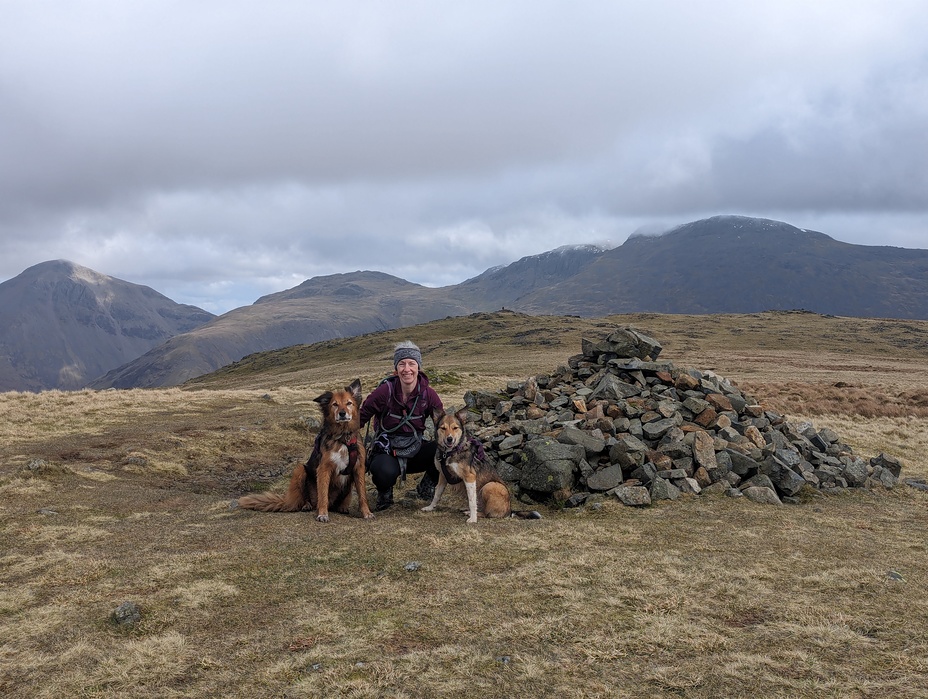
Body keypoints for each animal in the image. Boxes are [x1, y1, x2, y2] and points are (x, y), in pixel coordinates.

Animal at [236, 380, 374, 524]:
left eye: (349, 403)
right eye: (335, 404)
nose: (342, 413)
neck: (343, 437)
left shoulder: (358, 468)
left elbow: (362, 495)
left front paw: (366, 513)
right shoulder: (324, 468)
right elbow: (323, 495)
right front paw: (323, 514)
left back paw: (342, 507)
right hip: (300, 470)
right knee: (307, 499)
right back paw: (306, 505)